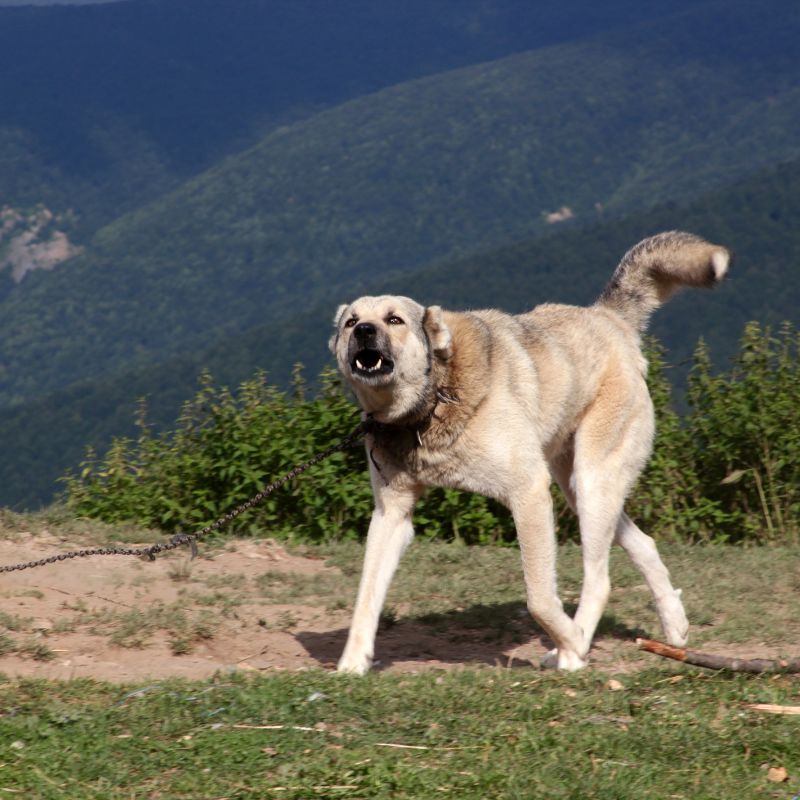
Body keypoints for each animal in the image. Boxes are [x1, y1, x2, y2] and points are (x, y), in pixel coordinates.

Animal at [328, 231, 728, 676]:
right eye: (351, 322)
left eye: (394, 320)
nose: (364, 331)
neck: (431, 404)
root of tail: (607, 317)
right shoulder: (391, 515)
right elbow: (366, 596)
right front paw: (351, 665)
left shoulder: (529, 492)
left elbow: (538, 597)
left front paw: (572, 643)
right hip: (578, 488)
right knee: (644, 543)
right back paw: (674, 624)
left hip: (591, 481)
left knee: (600, 579)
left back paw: (574, 650)